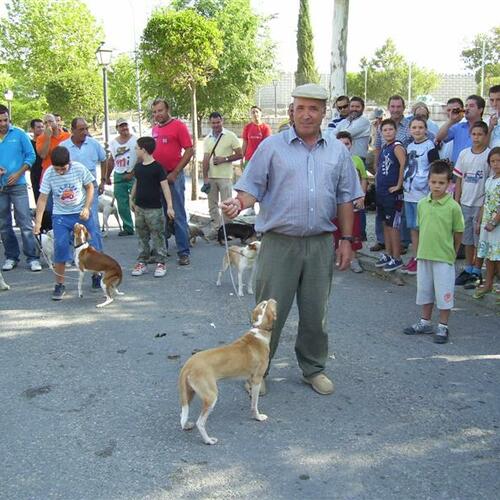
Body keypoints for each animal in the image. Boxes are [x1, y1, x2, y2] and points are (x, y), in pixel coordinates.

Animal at [178, 298, 278, 444]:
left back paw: (186, 426)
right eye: (265, 304)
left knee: (183, 414)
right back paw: (208, 440)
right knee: (200, 423)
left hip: (190, 393)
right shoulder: (257, 379)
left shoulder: (250, 378)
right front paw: (257, 417)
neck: (259, 330)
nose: (270, 299)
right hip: (211, 396)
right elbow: (254, 404)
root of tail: (188, 364)